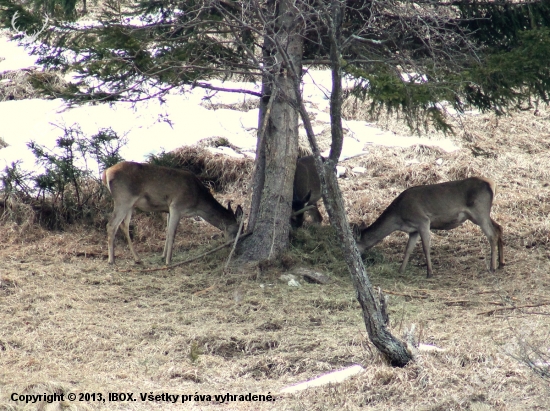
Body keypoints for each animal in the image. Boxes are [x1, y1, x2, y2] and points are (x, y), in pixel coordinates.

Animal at [102, 159, 244, 266]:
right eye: (239, 229)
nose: (237, 250)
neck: (197, 202)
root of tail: (106, 172)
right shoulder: (177, 206)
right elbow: (172, 233)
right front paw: (168, 261)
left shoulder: (169, 209)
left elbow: (167, 231)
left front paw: (163, 256)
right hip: (123, 199)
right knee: (111, 225)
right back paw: (111, 260)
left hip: (130, 205)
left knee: (124, 225)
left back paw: (137, 259)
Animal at [356, 178, 506, 278]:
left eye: (356, 244)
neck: (398, 217)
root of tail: (492, 184)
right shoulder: (413, 230)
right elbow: (408, 249)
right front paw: (401, 270)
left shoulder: (423, 221)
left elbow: (425, 247)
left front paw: (429, 272)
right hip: (479, 215)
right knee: (499, 227)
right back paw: (501, 263)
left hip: (479, 211)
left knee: (492, 234)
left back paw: (492, 267)